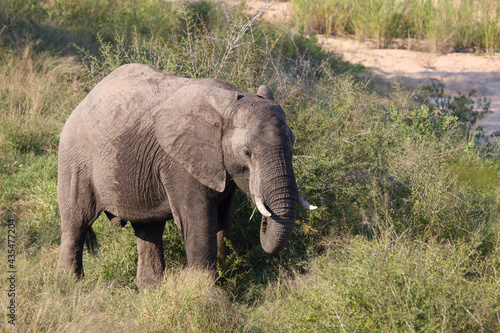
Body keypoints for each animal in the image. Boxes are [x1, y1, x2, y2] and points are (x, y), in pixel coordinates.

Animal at [56, 63, 314, 286]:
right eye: (247, 153)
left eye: (292, 145)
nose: (264, 217)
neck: (226, 106)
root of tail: (84, 99)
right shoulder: (179, 162)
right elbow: (198, 220)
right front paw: (206, 292)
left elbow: (223, 218)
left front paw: (223, 275)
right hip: (75, 160)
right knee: (76, 223)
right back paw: (69, 287)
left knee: (148, 229)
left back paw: (150, 289)